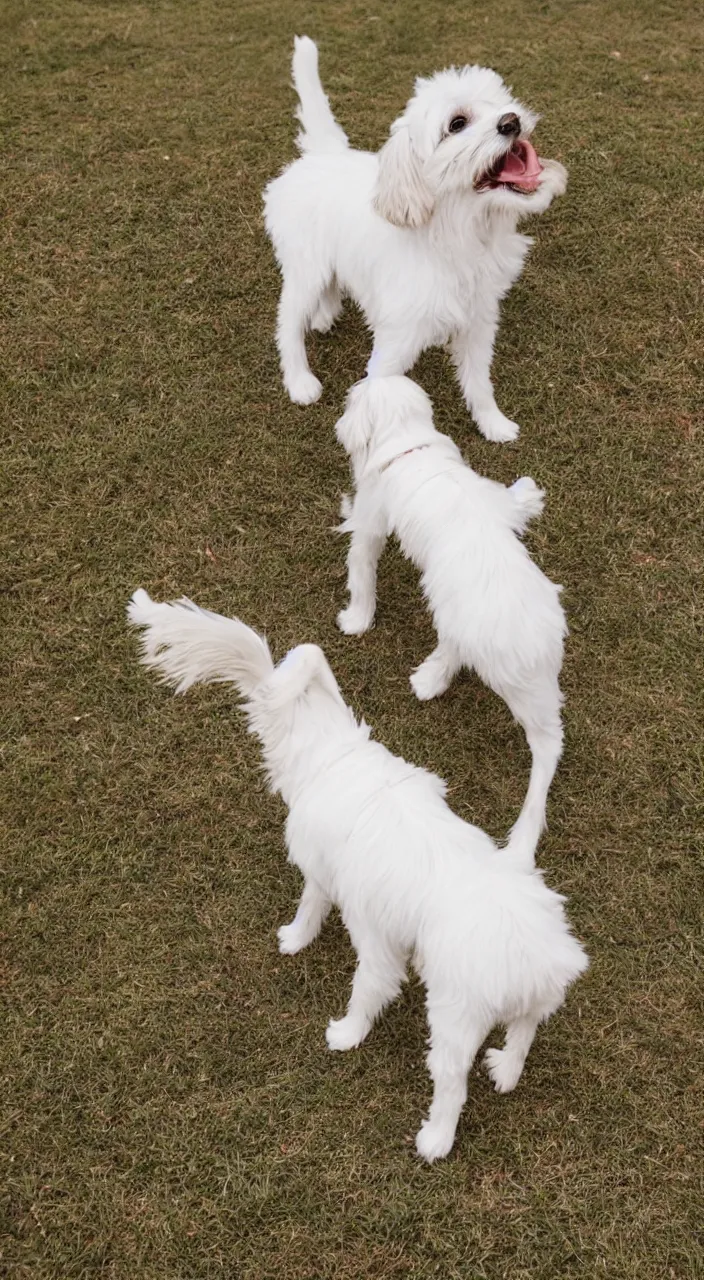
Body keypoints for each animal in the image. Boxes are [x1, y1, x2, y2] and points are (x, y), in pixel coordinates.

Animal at [128, 588, 591, 1162]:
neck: (334, 756)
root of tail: (538, 960)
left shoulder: (361, 917)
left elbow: (345, 955)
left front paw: (336, 1015)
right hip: (535, 1002)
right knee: (525, 1033)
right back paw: (505, 1069)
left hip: (456, 1018)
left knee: (452, 1082)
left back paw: (435, 1139)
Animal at [263, 36, 568, 445]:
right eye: (457, 124)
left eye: (499, 102)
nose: (512, 121)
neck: (458, 237)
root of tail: (324, 153)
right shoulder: (394, 344)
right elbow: (377, 397)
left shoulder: (478, 324)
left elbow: (479, 383)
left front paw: (493, 423)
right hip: (305, 271)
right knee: (287, 323)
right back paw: (299, 380)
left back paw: (325, 315)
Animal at [335, 373, 568, 865]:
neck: (412, 445)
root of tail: (537, 648)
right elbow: (509, 501)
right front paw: (528, 495)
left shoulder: (370, 525)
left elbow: (361, 571)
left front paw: (356, 619)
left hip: (466, 633)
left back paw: (428, 679)